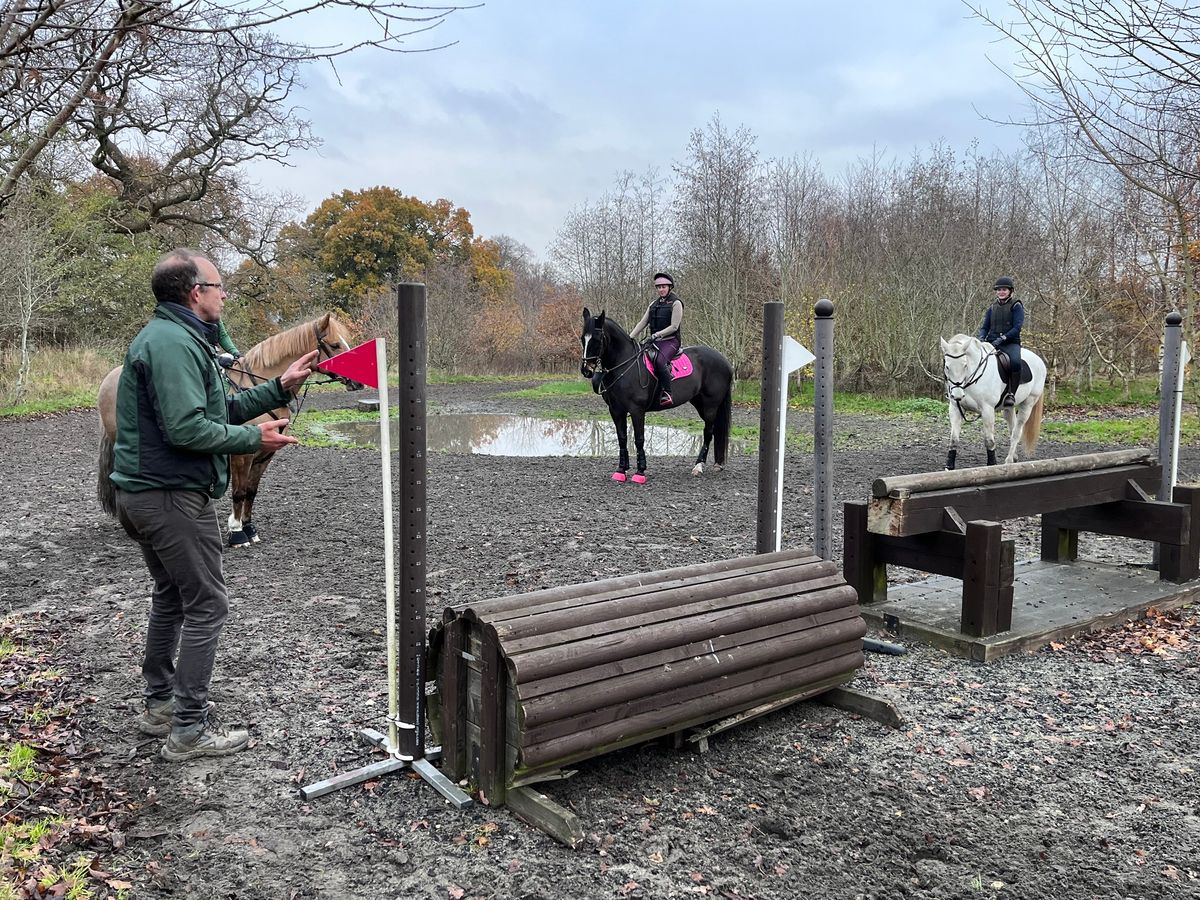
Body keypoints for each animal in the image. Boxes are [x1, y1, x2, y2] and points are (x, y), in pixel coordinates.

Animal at [97, 309, 360, 549]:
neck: (257, 382)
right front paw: (236, 531)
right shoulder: (242, 455)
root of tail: (111, 377)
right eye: (335, 344)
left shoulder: (264, 456)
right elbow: (240, 492)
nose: (356, 381)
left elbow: (251, 491)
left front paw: (249, 528)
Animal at [578, 309, 729, 482]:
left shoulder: (637, 410)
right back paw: (716, 464)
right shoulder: (616, 410)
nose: (586, 370)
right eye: (582, 338)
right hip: (700, 404)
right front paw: (621, 470)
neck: (625, 365)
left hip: (711, 405)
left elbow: (639, 439)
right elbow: (622, 438)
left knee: (708, 432)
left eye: (597, 339)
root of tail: (724, 360)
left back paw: (698, 466)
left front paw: (640, 472)